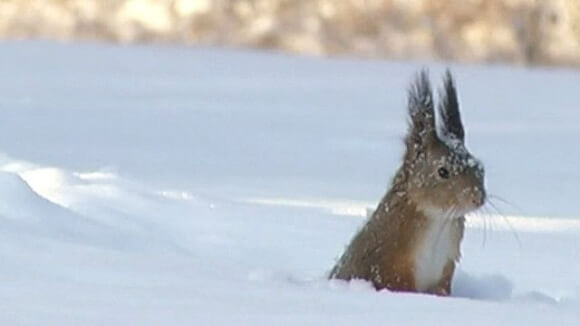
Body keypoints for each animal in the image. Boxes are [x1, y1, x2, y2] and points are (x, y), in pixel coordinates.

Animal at [330, 70, 484, 296]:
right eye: (443, 171)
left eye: (481, 168)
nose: (478, 198)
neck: (439, 222)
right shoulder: (390, 265)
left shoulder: (446, 268)